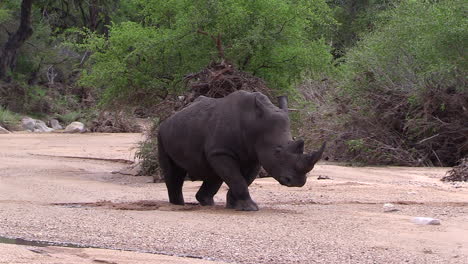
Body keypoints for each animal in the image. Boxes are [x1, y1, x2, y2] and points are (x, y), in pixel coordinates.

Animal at [157, 91, 326, 210]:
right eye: (277, 151)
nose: (297, 182)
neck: (254, 122)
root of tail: (169, 118)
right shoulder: (222, 150)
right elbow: (237, 178)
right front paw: (250, 208)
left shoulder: (254, 155)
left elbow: (242, 179)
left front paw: (235, 206)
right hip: (162, 133)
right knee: (174, 173)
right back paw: (178, 205)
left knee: (214, 172)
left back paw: (206, 203)